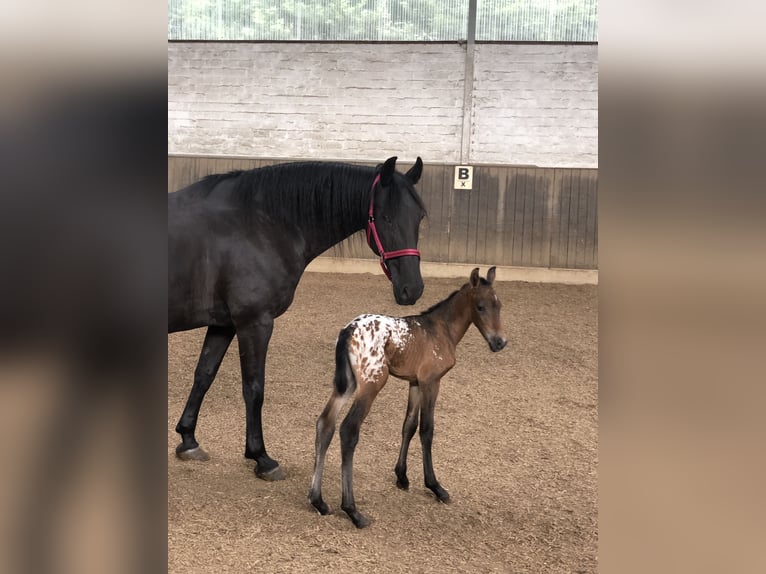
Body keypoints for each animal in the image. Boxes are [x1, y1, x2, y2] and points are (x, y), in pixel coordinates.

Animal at [169, 156, 428, 482]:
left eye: (419, 216)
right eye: (385, 217)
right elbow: (254, 389)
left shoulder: (223, 324)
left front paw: (188, 439)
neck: (258, 225)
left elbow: (204, 375)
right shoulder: (255, 323)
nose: (412, 288)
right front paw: (261, 457)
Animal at [308, 268, 508, 528]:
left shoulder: (414, 383)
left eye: (499, 305)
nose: (500, 342)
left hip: (346, 385)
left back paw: (318, 501)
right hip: (371, 385)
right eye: (481, 307)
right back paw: (353, 511)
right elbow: (426, 429)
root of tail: (347, 331)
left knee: (325, 424)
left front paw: (402, 477)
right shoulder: (431, 382)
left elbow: (409, 426)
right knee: (348, 430)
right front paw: (435, 487)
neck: (441, 329)